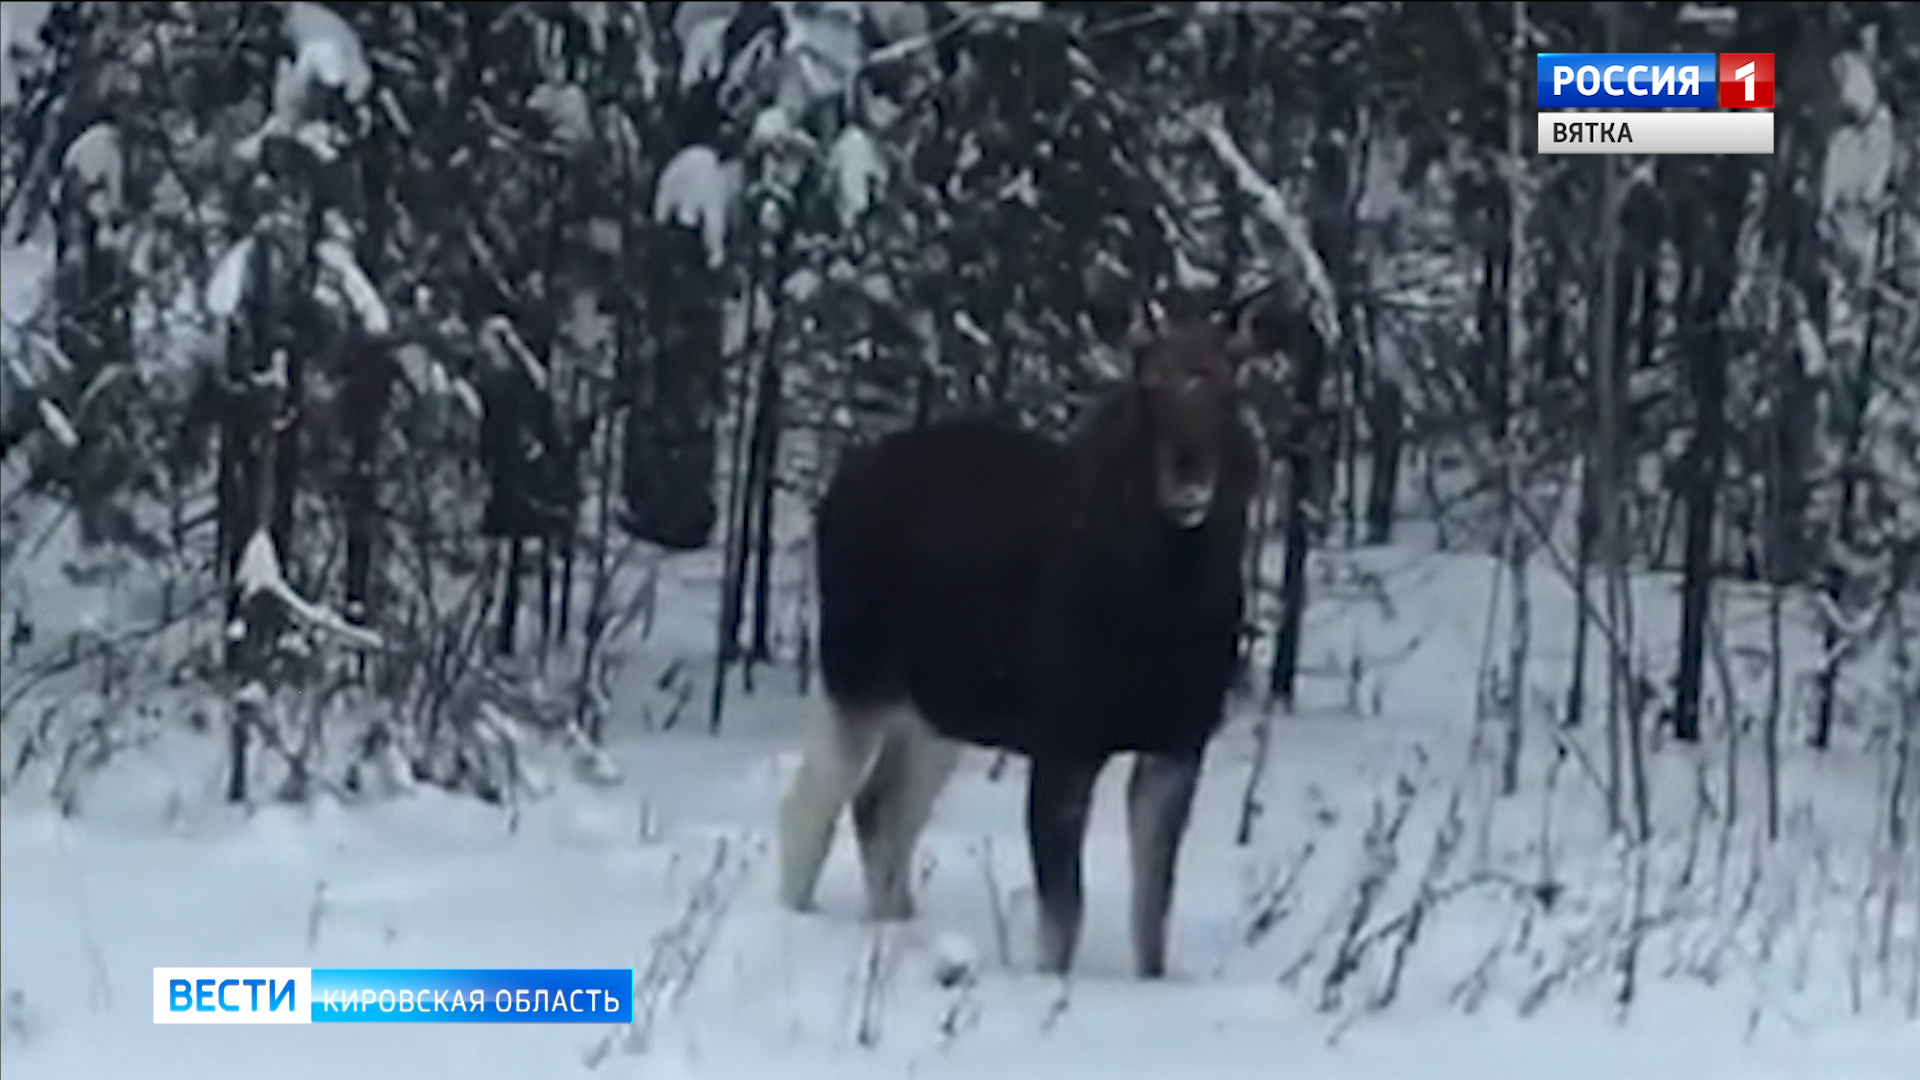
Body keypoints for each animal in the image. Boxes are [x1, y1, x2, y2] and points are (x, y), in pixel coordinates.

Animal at [771, 286, 1297, 976]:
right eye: (1148, 380)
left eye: (1228, 378)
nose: (1188, 474)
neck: (1167, 605)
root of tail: (835, 489)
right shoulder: (1063, 741)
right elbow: (1063, 917)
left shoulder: (1177, 742)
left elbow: (1152, 915)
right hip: (856, 674)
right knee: (812, 802)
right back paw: (799, 916)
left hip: (938, 707)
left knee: (881, 808)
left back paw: (899, 924)